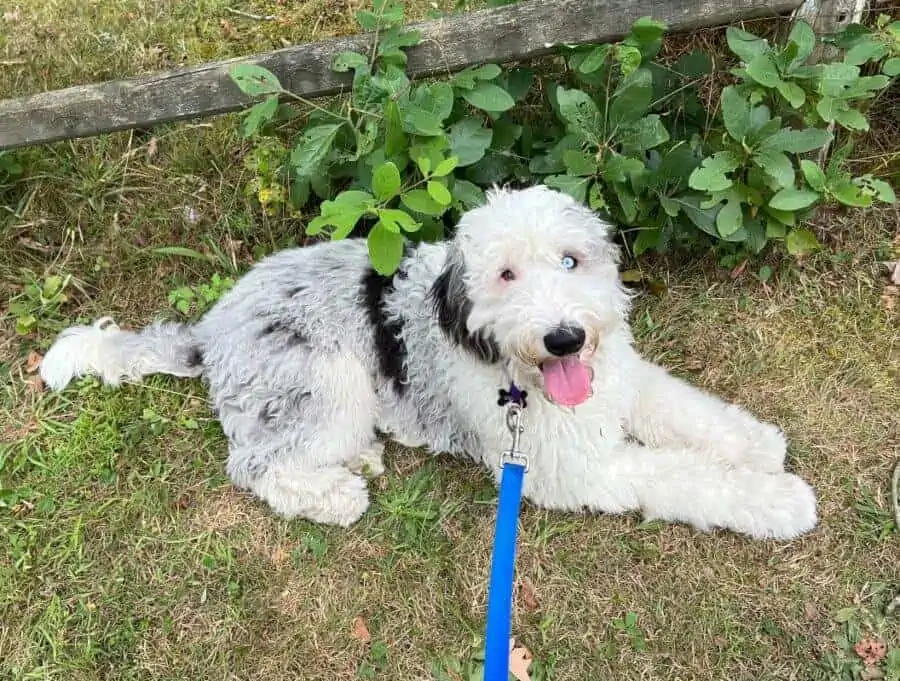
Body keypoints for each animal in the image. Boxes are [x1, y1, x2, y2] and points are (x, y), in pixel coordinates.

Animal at [40, 183, 816, 540]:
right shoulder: (569, 468)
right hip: (326, 384)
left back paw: (358, 458)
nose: (565, 337)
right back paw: (335, 493)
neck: (524, 379)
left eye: (571, 260)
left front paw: (757, 444)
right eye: (505, 274)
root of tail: (210, 327)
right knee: (256, 465)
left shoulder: (622, 381)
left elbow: (687, 410)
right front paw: (778, 500)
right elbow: (680, 475)